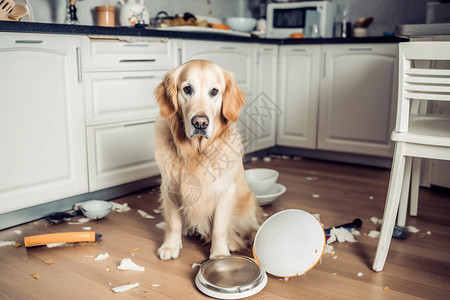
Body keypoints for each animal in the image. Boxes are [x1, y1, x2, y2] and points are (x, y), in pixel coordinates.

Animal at [154, 59, 264, 260]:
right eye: (187, 89)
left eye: (214, 91)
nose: (200, 123)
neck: (197, 152)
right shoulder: (170, 186)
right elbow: (173, 223)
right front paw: (170, 246)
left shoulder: (225, 191)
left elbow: (219, 228)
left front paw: (219, 254)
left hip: (246, 203)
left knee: (252, 226)